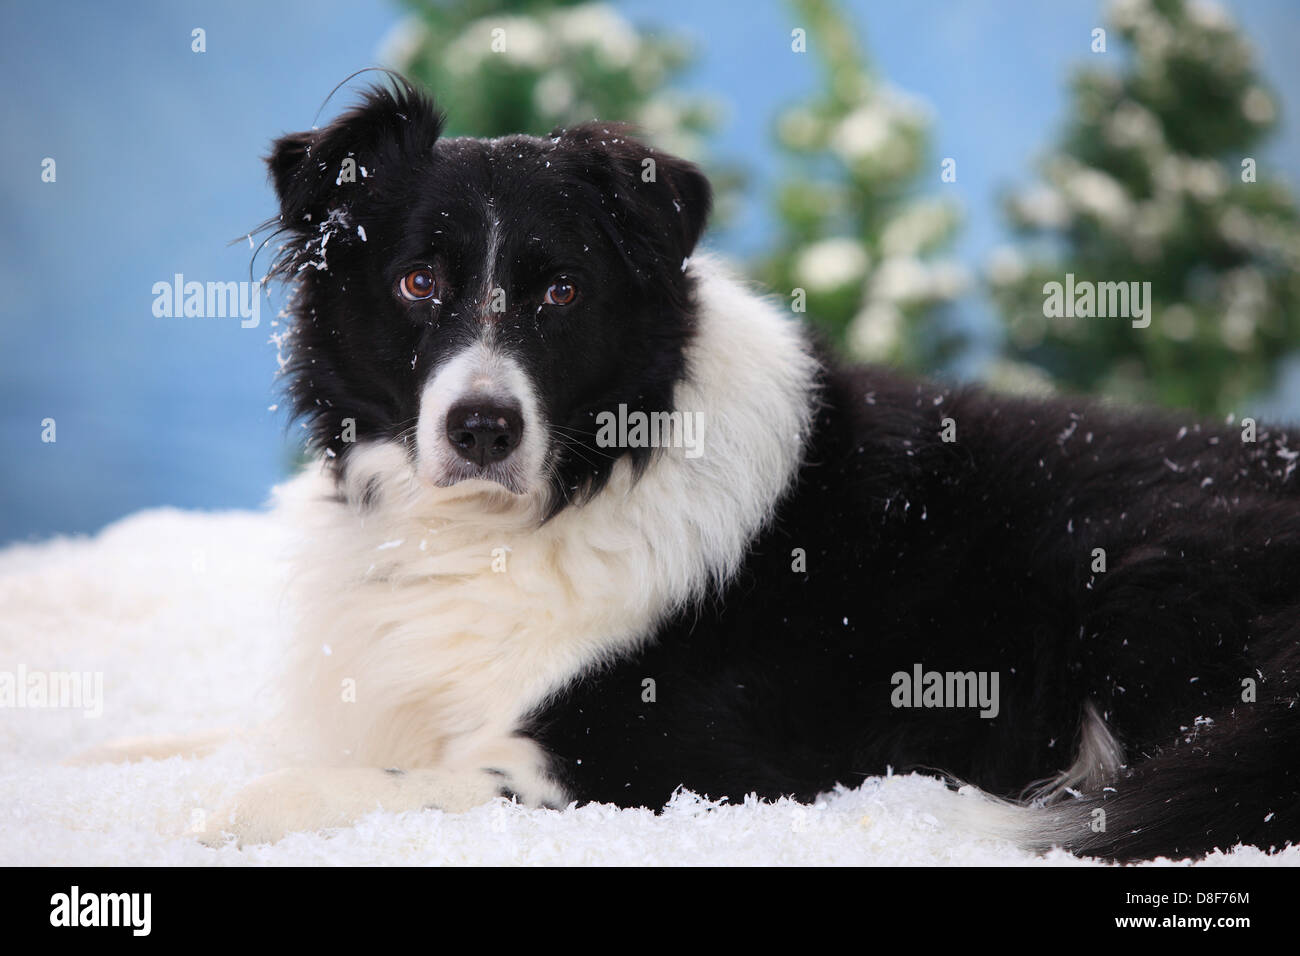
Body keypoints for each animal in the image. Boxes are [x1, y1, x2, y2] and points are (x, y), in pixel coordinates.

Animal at [165, 82, 1300, 858]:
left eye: (563, 292)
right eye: (417, 281)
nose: (483, 428)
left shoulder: (669, 761)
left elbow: (403, 776)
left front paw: (248, 806)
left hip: (1142, 560)